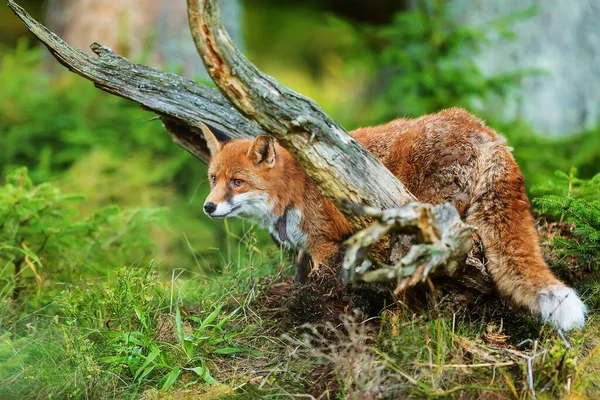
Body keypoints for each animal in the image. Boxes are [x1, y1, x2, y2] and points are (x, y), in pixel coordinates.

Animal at [202, 107, 584, 332]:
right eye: (213, 179)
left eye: (237, 182)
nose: (208, 207)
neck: (293, 189)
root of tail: (487, 131)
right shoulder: (305, 247)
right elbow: (302, 281)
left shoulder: (325, 243)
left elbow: (322, 291)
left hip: (422, 227)